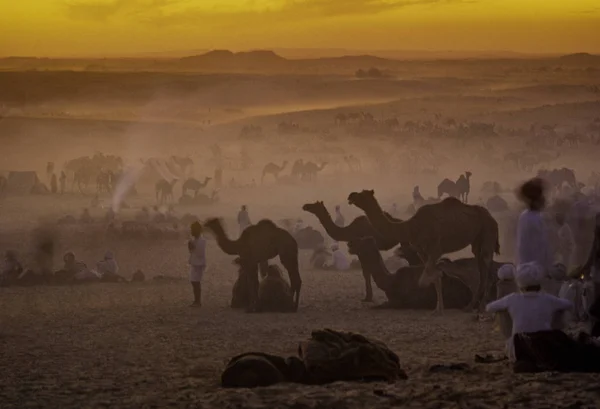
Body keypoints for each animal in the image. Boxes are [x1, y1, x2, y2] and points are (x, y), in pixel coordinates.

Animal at [344, 190, 500, 314]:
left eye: (362, 194)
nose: (351, 195)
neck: (411, 227)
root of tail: (492, 218)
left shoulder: (435, 248)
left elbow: (426, 278)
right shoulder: (422, 251)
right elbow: (434, 276)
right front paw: (438, 309)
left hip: (488, 233)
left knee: (487, 267)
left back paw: (481, 307)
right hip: (477, 240)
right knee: (481, 268)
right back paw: (470, 307)